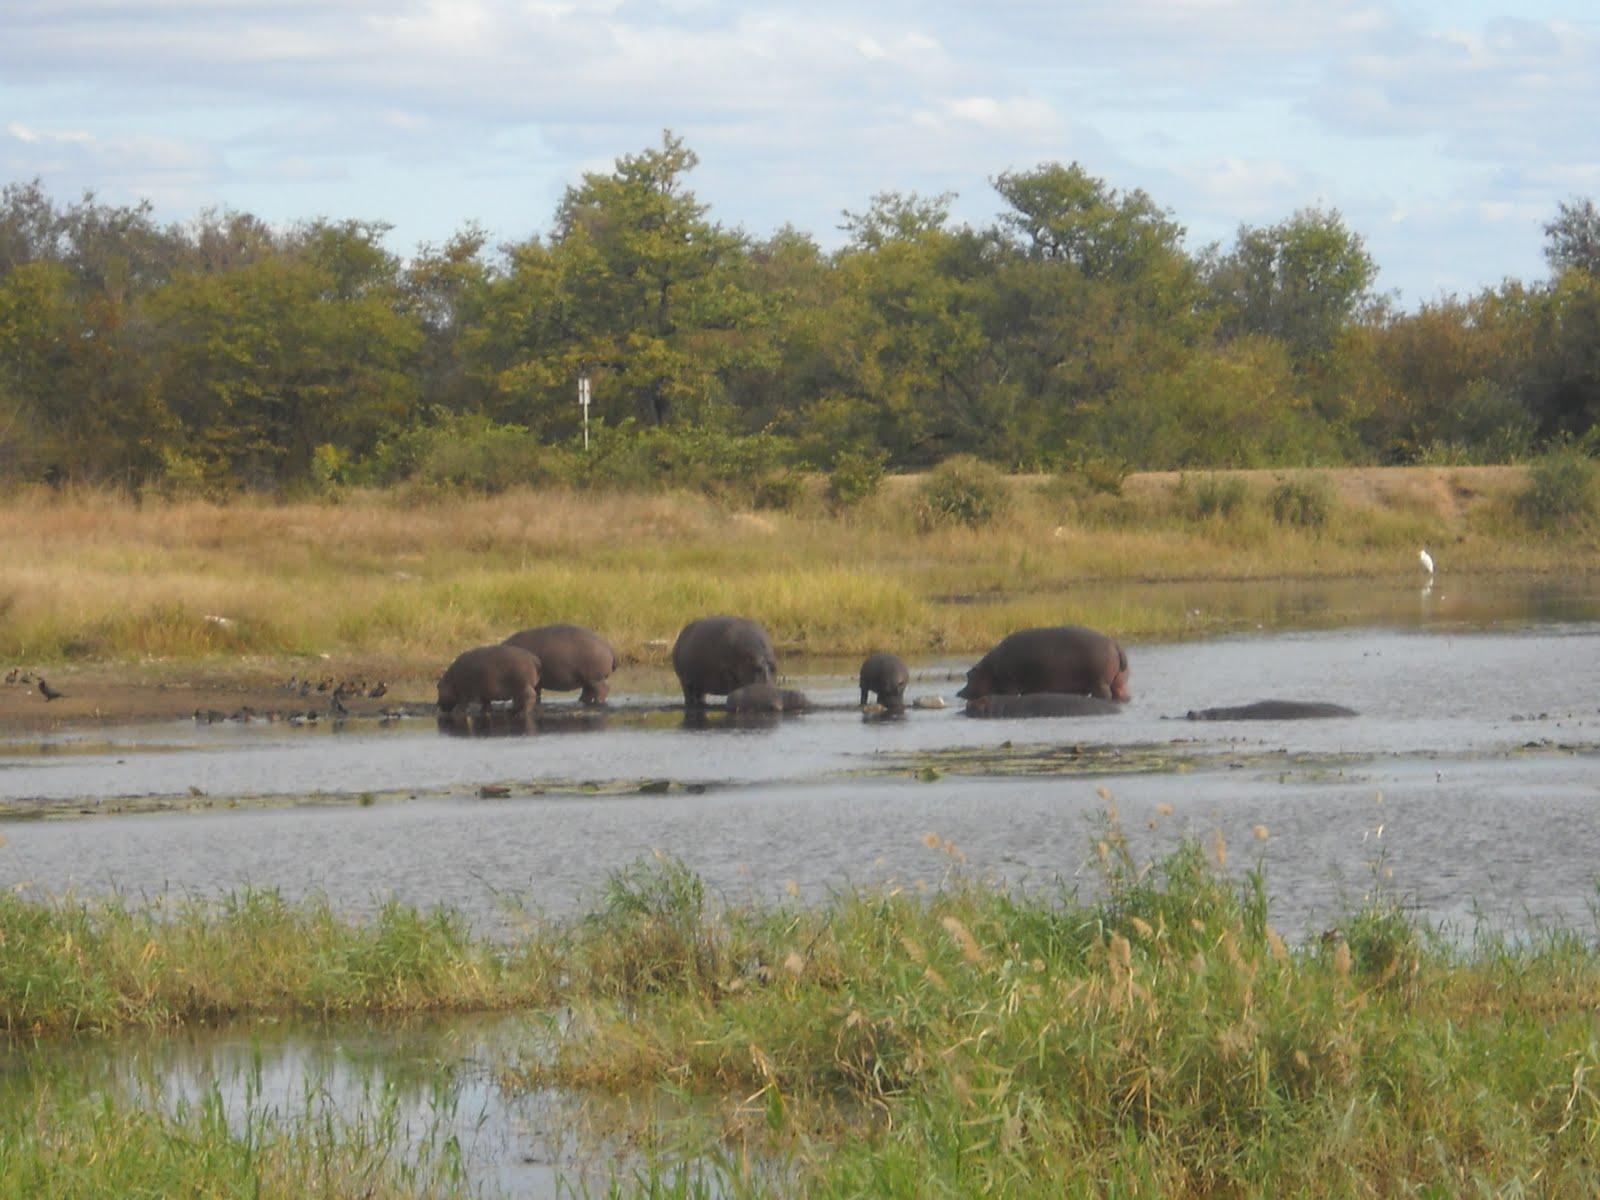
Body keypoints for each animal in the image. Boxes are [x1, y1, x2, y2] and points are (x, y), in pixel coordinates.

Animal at [953, 630, 1132, 704]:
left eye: (968, 675)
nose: (958, 693)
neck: (988, 670)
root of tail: (1116, 645)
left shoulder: (1009, 685)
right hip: (1119, 682)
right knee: (1121, 694)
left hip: (1099, 683)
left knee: (1105, 695)